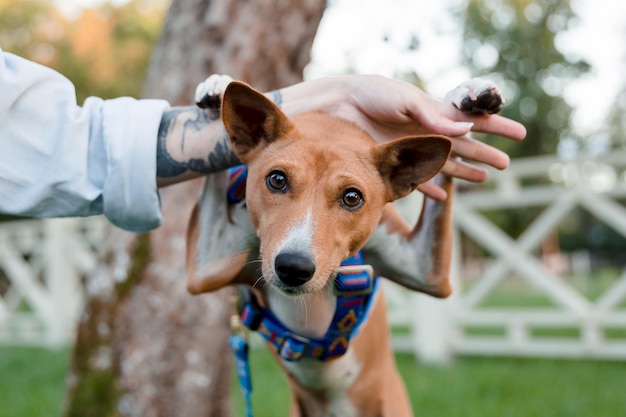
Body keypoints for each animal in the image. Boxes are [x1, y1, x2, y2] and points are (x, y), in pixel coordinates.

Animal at [184, 75, 502, 416]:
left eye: (352, 197)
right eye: (277, 179)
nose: (293, 268)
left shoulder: (428, 272)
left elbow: (449, 149)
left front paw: (467, 98)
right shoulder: (206, 269)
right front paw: (216, 88)